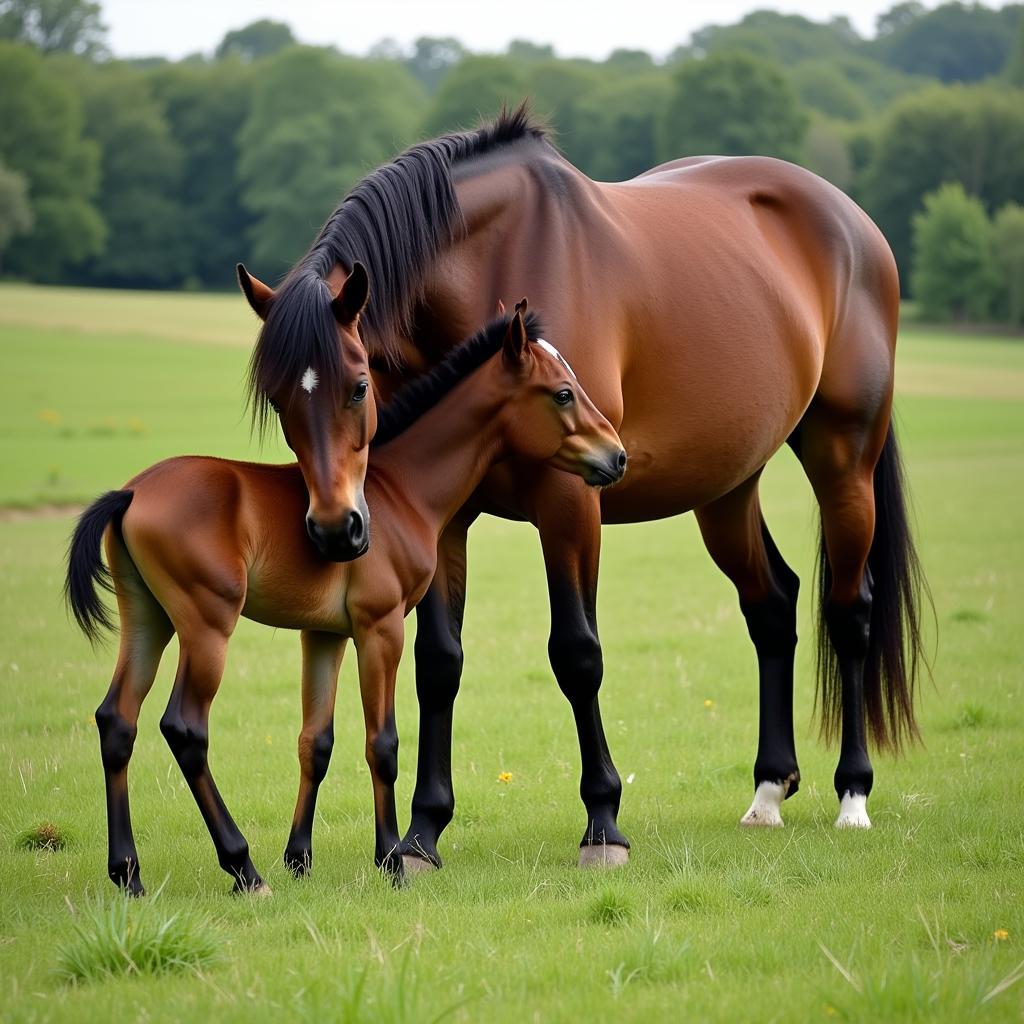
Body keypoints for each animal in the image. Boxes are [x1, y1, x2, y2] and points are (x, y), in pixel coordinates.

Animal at [66, 299, 622, 892]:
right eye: (563, 392)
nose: (616, 456)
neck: (397, 488)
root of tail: (130, 493)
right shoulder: (381, 628)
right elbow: (383, 743)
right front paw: (392, 860)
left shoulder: (324, 634)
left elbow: (317, 741)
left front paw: (299, 858)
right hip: (206, 626)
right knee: (185, 727)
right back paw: (243, 868)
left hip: (148, 620)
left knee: (116, 720)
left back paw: (128, 874)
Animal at [235, 105, 925, 872]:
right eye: (277, 399)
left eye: (357, 386)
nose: (335, 530)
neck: (492, 261)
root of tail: (852, 221)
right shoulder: (446, 519)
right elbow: (439, 664)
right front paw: (421, 833)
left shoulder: (571, 505)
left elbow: (577, 652)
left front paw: (603, 823)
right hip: (727, 487)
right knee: (773, 605)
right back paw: (769, 791)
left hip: (844, 461)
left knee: (850, 610)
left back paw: (853, 795)